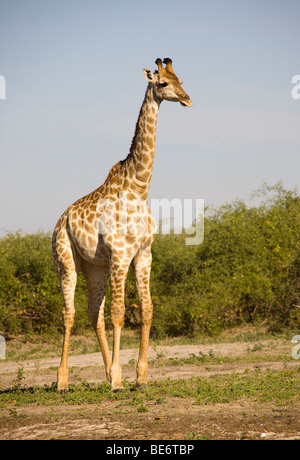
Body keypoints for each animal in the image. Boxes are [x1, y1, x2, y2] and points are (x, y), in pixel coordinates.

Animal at [51, 55, 192, 390]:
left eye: (181, 79)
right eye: (163, 83)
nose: (187, 98)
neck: (138, 189)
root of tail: (60, 220)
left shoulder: (143, 254)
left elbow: (147, 310)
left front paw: (139, 377)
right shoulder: (120, 254)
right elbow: (119, 312)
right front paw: (118, 378)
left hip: (95, 267)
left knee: (93, 312)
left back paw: (103, 372)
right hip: (66, 262)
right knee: (69, 313)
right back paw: (63, 381)